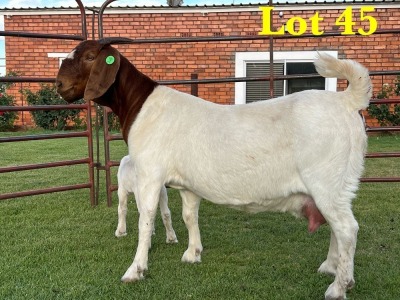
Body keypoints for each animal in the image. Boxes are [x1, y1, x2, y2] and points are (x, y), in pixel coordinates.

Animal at [56, 38, 372, 300]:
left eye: (90, 57)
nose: (58, 85)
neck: (142, 106)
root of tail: (347, 101)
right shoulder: (187, 184)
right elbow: (189, 216)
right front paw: (192, 253)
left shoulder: (150, 174)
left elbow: (146, 220)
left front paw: (135, 270)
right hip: (337, 186)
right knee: (338, 226)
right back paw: (331, 268)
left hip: (327, 180)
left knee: (347, 228)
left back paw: (338, 287)